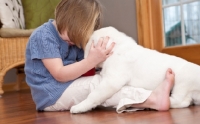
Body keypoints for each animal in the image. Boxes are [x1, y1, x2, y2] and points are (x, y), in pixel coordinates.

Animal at [70, 26, 200, 114]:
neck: (118, 48)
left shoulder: (111, 82)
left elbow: (94, 95)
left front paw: (79, 107)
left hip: (181, 83)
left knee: (182, 101)